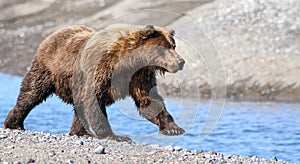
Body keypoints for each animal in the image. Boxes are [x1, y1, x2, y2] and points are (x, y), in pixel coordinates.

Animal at [5, 23, 185, 142]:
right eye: (166, 47)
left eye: (173, 46)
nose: (181, 61)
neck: (129, 62)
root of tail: (52, 35)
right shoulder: (100, 69)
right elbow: (94, 101)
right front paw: (115, 135)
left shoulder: (139, 76)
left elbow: (149, 100)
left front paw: (173, 128)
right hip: (48, 70)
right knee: (31, 93)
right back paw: (14, 123)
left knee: (78, 107)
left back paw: (80, 132)